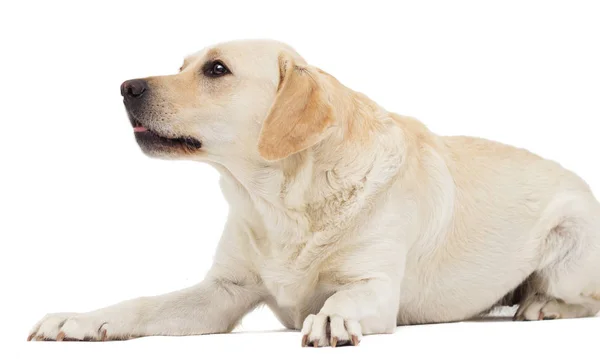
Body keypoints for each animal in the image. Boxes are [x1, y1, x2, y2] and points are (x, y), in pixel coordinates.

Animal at [28, 38, 600, 346]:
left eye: (217, 69)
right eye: (182, 65)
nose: (126, 87)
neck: (280, 200)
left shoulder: (375, 286)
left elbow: (344, 295)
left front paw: (330, 317)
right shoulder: (221, 293)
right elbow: (142, 304)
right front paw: (81, 320)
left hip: (569, 242)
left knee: (585, 299)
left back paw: (544, 305)